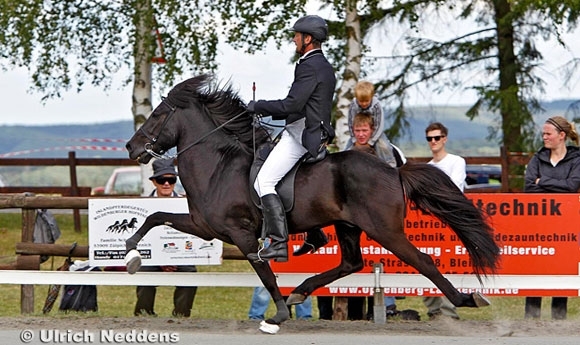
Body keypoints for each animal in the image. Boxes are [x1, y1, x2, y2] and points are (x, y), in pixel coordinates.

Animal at [124, 74, 500, 332]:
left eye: (157, 115)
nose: (131, 147)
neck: (218, 166)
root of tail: (394, 170)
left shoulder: (242, 236)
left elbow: (265, 275)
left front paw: (277, 316)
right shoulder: (204, 227)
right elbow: (155, 216)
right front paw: (130, 254)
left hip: (385, 230)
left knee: (422, 261)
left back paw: (465, 298)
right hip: (348, 226)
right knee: (351, 263)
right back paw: (302, 290)